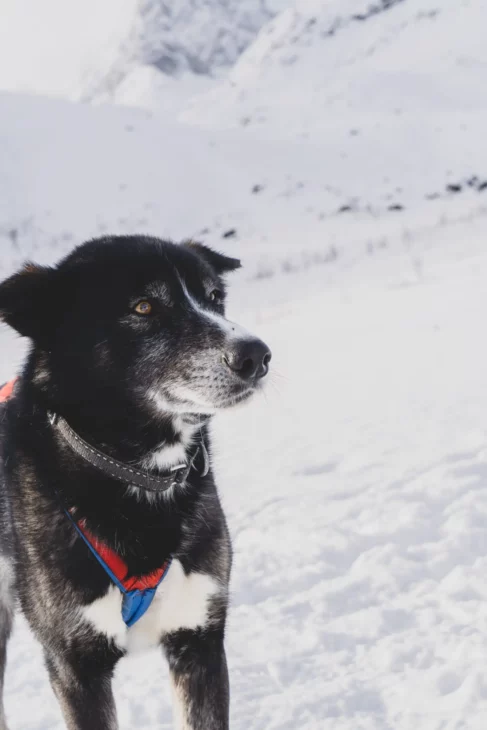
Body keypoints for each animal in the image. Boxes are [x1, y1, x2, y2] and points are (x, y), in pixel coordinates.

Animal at [0, 236, 270, 724]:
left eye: (214, 298)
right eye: (144, 307)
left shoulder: (198, 638)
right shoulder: (75, 667)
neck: (138, 475)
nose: (256, 355)